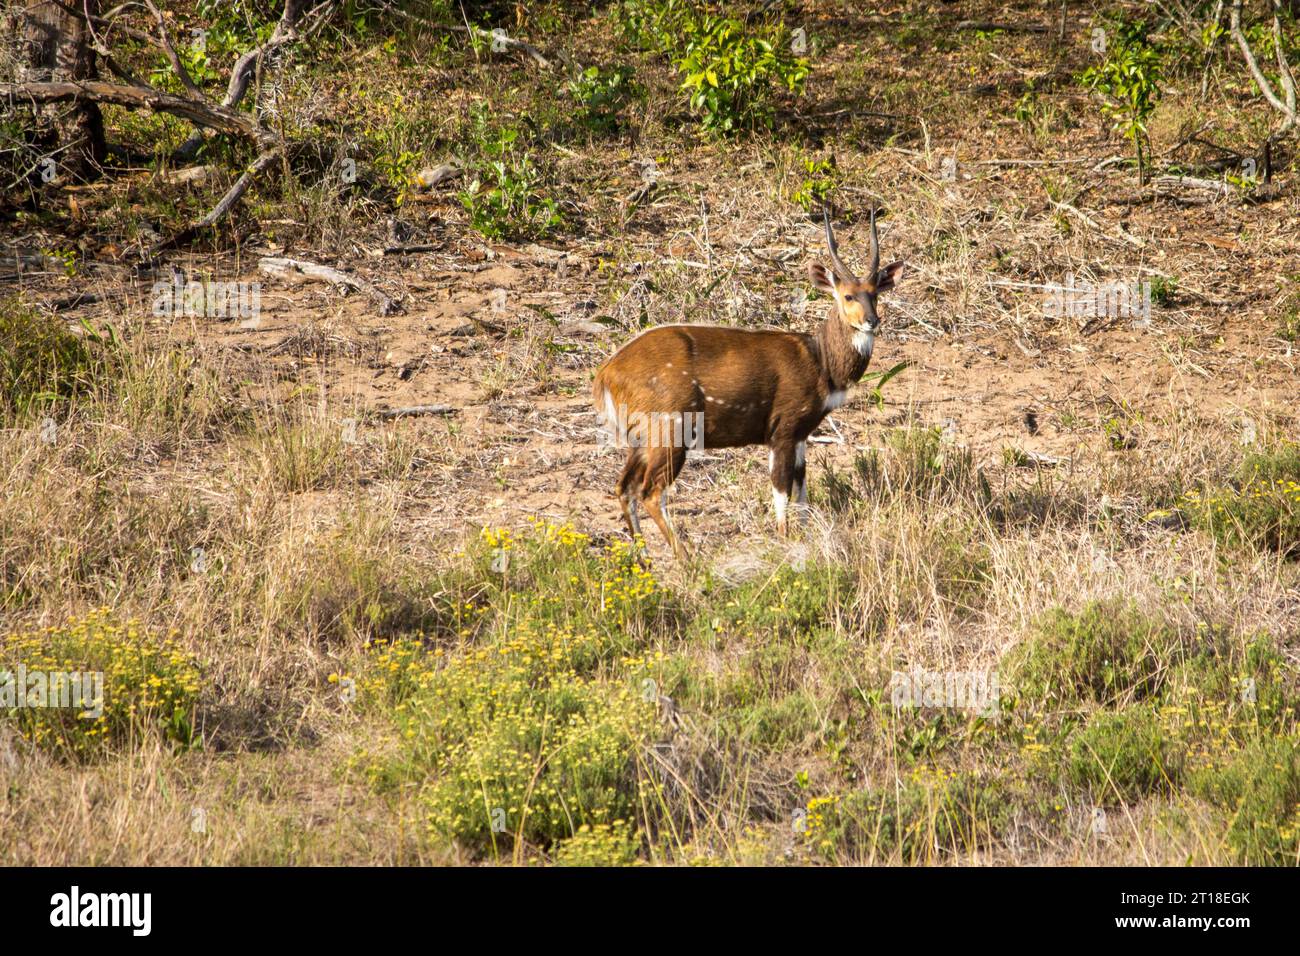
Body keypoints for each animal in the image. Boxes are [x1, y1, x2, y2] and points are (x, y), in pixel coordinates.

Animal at [592, 205, 904, 556]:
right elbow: (781, 490)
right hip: (669, 428)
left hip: (640, 437)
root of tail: (606, 373)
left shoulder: (800, 433)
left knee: (624, 486)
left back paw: (644, 560)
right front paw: (784, 541)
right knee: (650, 491)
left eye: (875, 295)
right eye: (848, 296)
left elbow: (801, 489)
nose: (872, 320)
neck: (821, 362)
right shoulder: (782, 428)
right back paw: (686, 559)